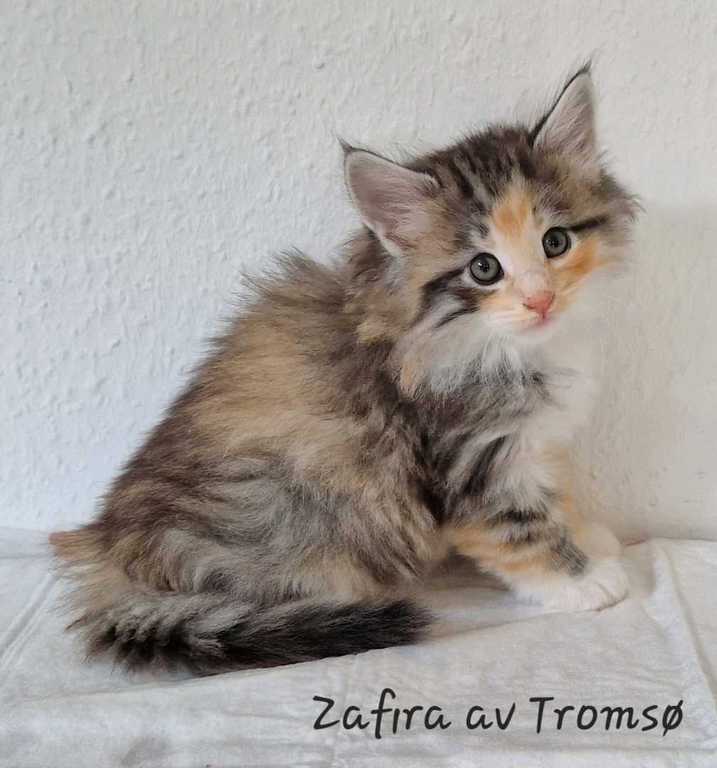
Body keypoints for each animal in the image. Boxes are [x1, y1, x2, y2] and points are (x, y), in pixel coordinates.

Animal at [51, 64, 639, 674]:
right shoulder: (471, 458)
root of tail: (109, 559)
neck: (498, 347)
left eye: (555, 242)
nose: (541, 300)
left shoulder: (532, 444)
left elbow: (555, 494)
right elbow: (518, 526)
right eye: (484, 268)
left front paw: (588, 537)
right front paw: (581, 579)